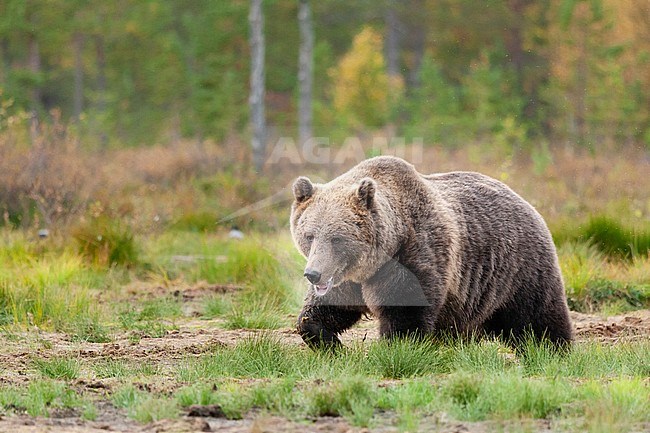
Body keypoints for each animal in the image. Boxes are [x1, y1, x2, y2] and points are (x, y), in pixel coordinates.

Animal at [292, 155, 568, 348]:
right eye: (309, 235)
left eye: (337, 238)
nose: (313, 274)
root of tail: (526, 202)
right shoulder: (346, 279)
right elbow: (323, 311)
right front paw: (331, 343)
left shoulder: (415, 254)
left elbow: (406, 308)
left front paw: (399, 346)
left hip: (517, 269)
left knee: (536, 316)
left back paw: (549, 349)